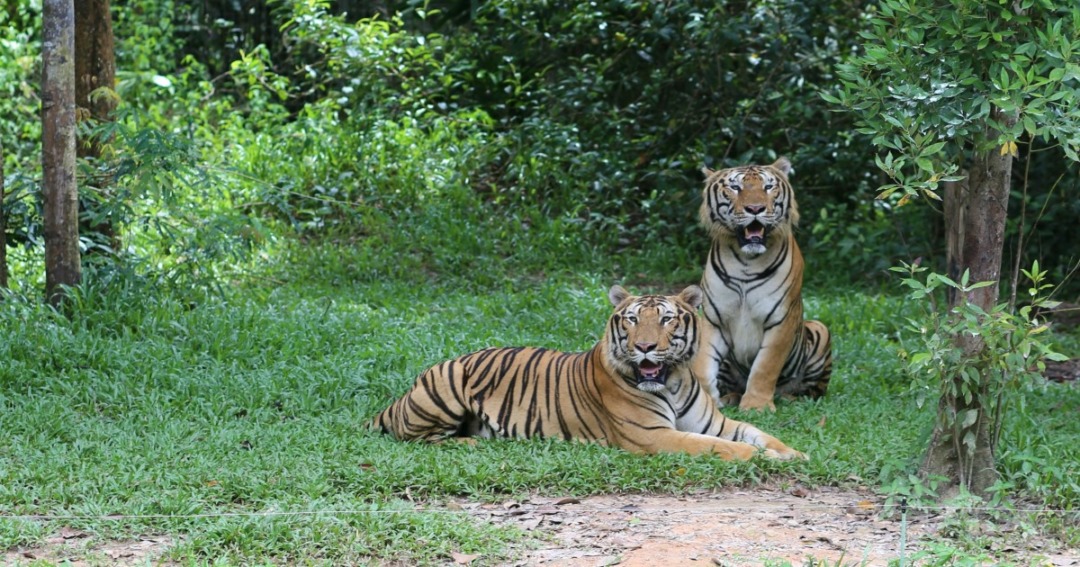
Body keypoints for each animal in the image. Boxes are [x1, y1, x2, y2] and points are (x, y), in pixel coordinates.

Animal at [371, 285, 805, 460]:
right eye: (632, 320)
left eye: (666, 319)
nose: (645, 347)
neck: (674, 381)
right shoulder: (655, 436)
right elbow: (723, 447)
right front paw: (763, 457)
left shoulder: (715, 423)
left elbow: (758, 432)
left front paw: (794, 453)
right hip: (445, 388)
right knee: (418, 439)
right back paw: (471, 445)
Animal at [694, 156, 832, 412]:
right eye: (735, 187)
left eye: (768, 187)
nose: (755, 209)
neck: (746, 261)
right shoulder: (713, 319)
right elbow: (702, 367)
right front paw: (705, 401)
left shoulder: (781, 319)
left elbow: (765, 367)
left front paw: (756, 406)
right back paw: (730, 397)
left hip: (821, 330)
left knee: (811, 392)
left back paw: (789, 399)